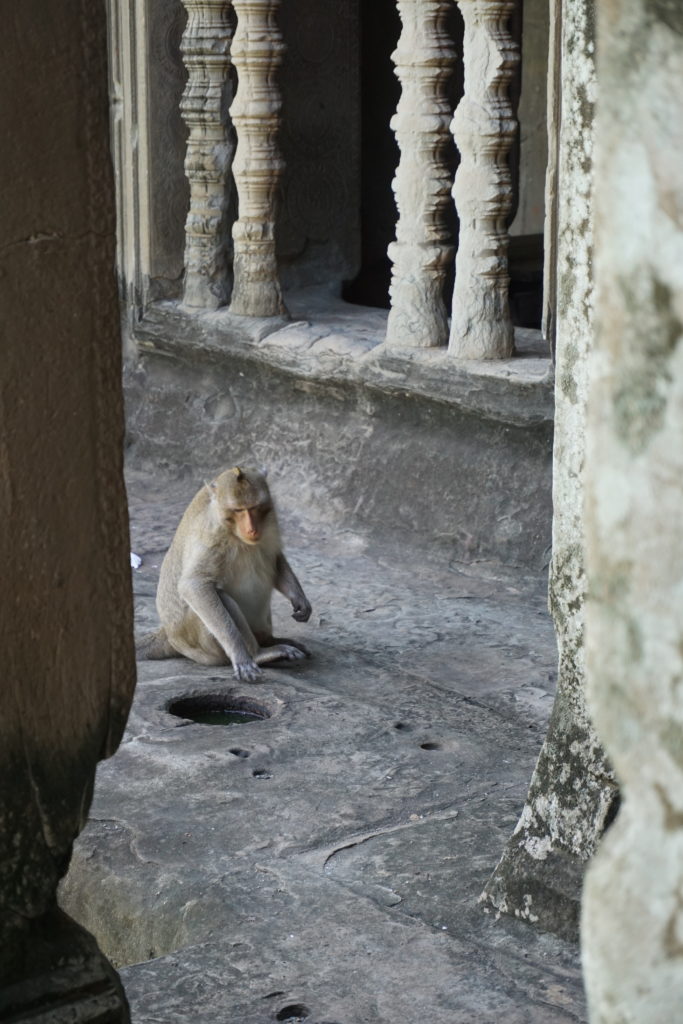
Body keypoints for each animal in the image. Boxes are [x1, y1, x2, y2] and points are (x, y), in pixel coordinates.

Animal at [141, 468, 313, 684]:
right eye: (239, 510)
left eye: (255, 507)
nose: (252, 529)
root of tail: (169, 635)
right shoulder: (212, 538)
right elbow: (194, 585)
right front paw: (241, 656)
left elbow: (275, 558)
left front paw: (300, 599)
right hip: (203, 647)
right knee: (219, 596)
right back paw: (259, 653)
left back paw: (272, 641)